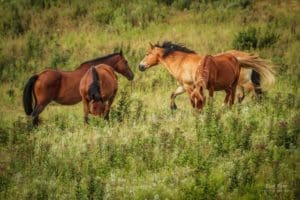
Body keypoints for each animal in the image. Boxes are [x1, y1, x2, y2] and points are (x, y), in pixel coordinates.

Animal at [138, 41, 274, 109]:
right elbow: (173, 94)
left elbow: (191, 99)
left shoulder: (189, 86)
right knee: (240, 96)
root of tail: (240, 58)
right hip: (235, 85)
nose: (140, 66)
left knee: (257, 93)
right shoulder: (183, 86)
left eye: (147, 53)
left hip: (244, 83)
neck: (181, 61)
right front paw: (174, 108)